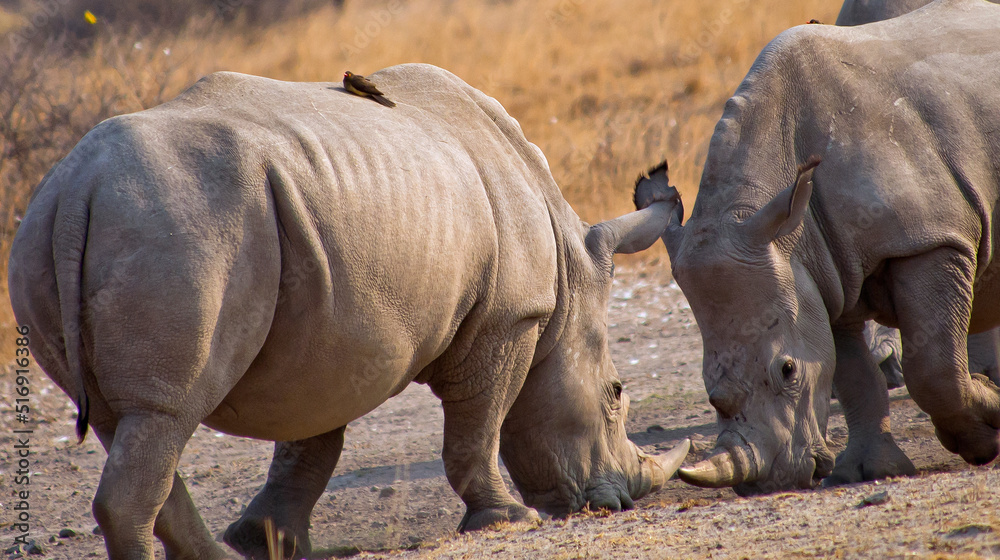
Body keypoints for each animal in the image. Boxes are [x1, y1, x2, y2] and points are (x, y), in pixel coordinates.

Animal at [7, 64, 689, 560]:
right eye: (616, 393)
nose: (621, 501)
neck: (568, 281)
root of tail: (77, 189)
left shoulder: (326, 330)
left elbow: (311, 439)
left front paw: (269, 541)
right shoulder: (511, 316)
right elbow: (479, 424)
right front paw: (507, 520)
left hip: (52, 239)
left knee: (128, 420)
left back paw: (219, 558)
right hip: (179, 224)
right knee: (163, 413)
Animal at [634, 0, 1000, 495]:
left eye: (787, 370)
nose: (770, 483)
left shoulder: (930, 238)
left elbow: (933, 366)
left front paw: (983, 437)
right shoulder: (821, 274)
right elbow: (853, 376)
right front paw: (869, 471)